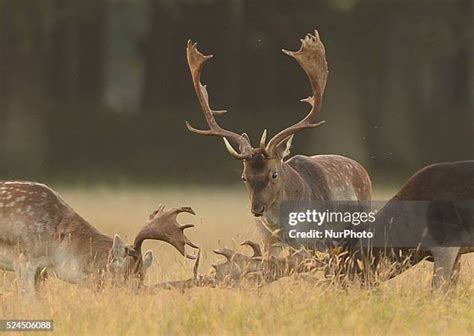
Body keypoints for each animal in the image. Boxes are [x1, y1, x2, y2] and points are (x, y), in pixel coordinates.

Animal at [187, 30, 372, 253]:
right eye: (244, 176)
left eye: (274, 174)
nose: (257, 209)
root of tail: (362, 170)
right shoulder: (267, 241)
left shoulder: (317, 240)